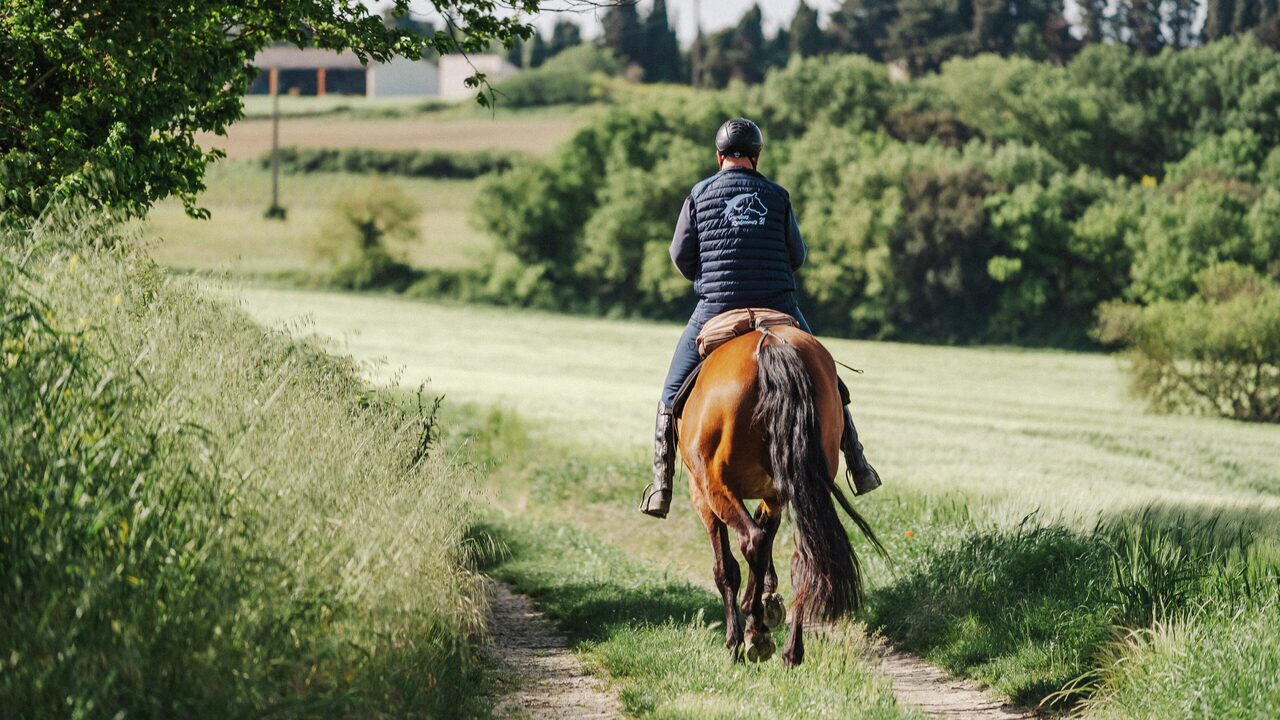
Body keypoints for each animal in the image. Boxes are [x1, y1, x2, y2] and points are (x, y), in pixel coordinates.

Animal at [678, 324, 883, 667]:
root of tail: (771, 343)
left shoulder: (702, 495)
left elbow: (725, 568)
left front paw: (737, 638)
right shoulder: (774, 494)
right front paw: (766, 601)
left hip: (715, 486)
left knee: (753, 541)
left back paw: (755, 630)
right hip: (805, 484)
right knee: (805, 558)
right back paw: (790, 649)